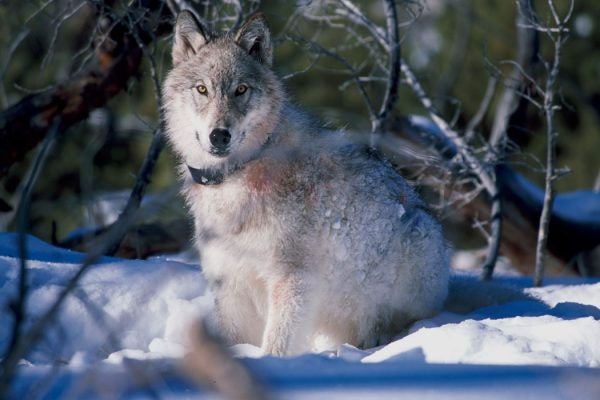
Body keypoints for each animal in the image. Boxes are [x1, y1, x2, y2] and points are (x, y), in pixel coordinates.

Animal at [162, 10, 448, 356]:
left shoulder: (293, 279)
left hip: (414, 243)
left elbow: (278, 343)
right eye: (202, 89)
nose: (219, 135)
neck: (237, 175)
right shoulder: (229, 282)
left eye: (241, 90)